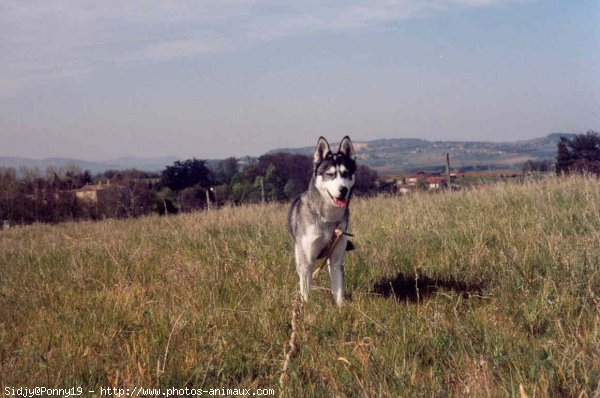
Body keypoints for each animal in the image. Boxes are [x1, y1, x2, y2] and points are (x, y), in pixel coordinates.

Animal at [288, 136, 354, 304]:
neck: (328, 218)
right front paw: (306, 309)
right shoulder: (306, 262)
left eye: (346, 173)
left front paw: (340, 308)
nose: (343, 189)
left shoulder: (336, 260)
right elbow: (305, 294)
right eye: (330, 174)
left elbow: (338, 292)